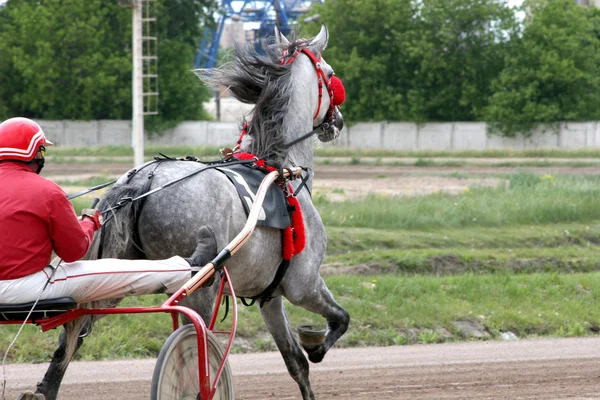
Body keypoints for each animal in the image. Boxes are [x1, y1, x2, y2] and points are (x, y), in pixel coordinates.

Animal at [35, 25, 350, 400]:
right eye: (330, 73)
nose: (338, 121)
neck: (278, 167)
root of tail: (142, 179)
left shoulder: (270, 297)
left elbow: (295, 362)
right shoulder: (304, 284)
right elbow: (339, 320)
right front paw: (316, 344)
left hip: (115, 275)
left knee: (69, 340)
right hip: (201, 287)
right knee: (192, 345)